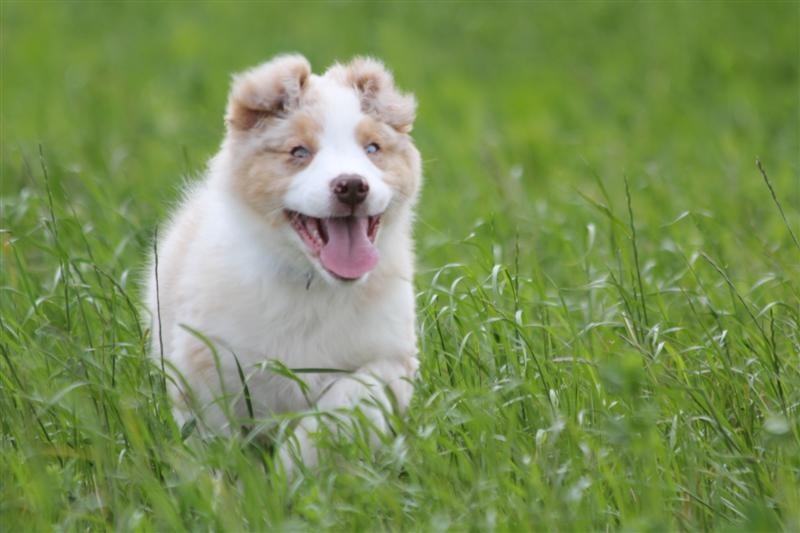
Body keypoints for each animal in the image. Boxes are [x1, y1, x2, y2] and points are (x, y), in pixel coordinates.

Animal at [144, 54, 422, 472]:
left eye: (372, 148)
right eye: (299, 153)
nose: (352, 187)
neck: (312, 285)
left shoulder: (389, 358)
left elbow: (342, 405)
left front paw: (294, 467)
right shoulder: (208, 359)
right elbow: (218, 433)